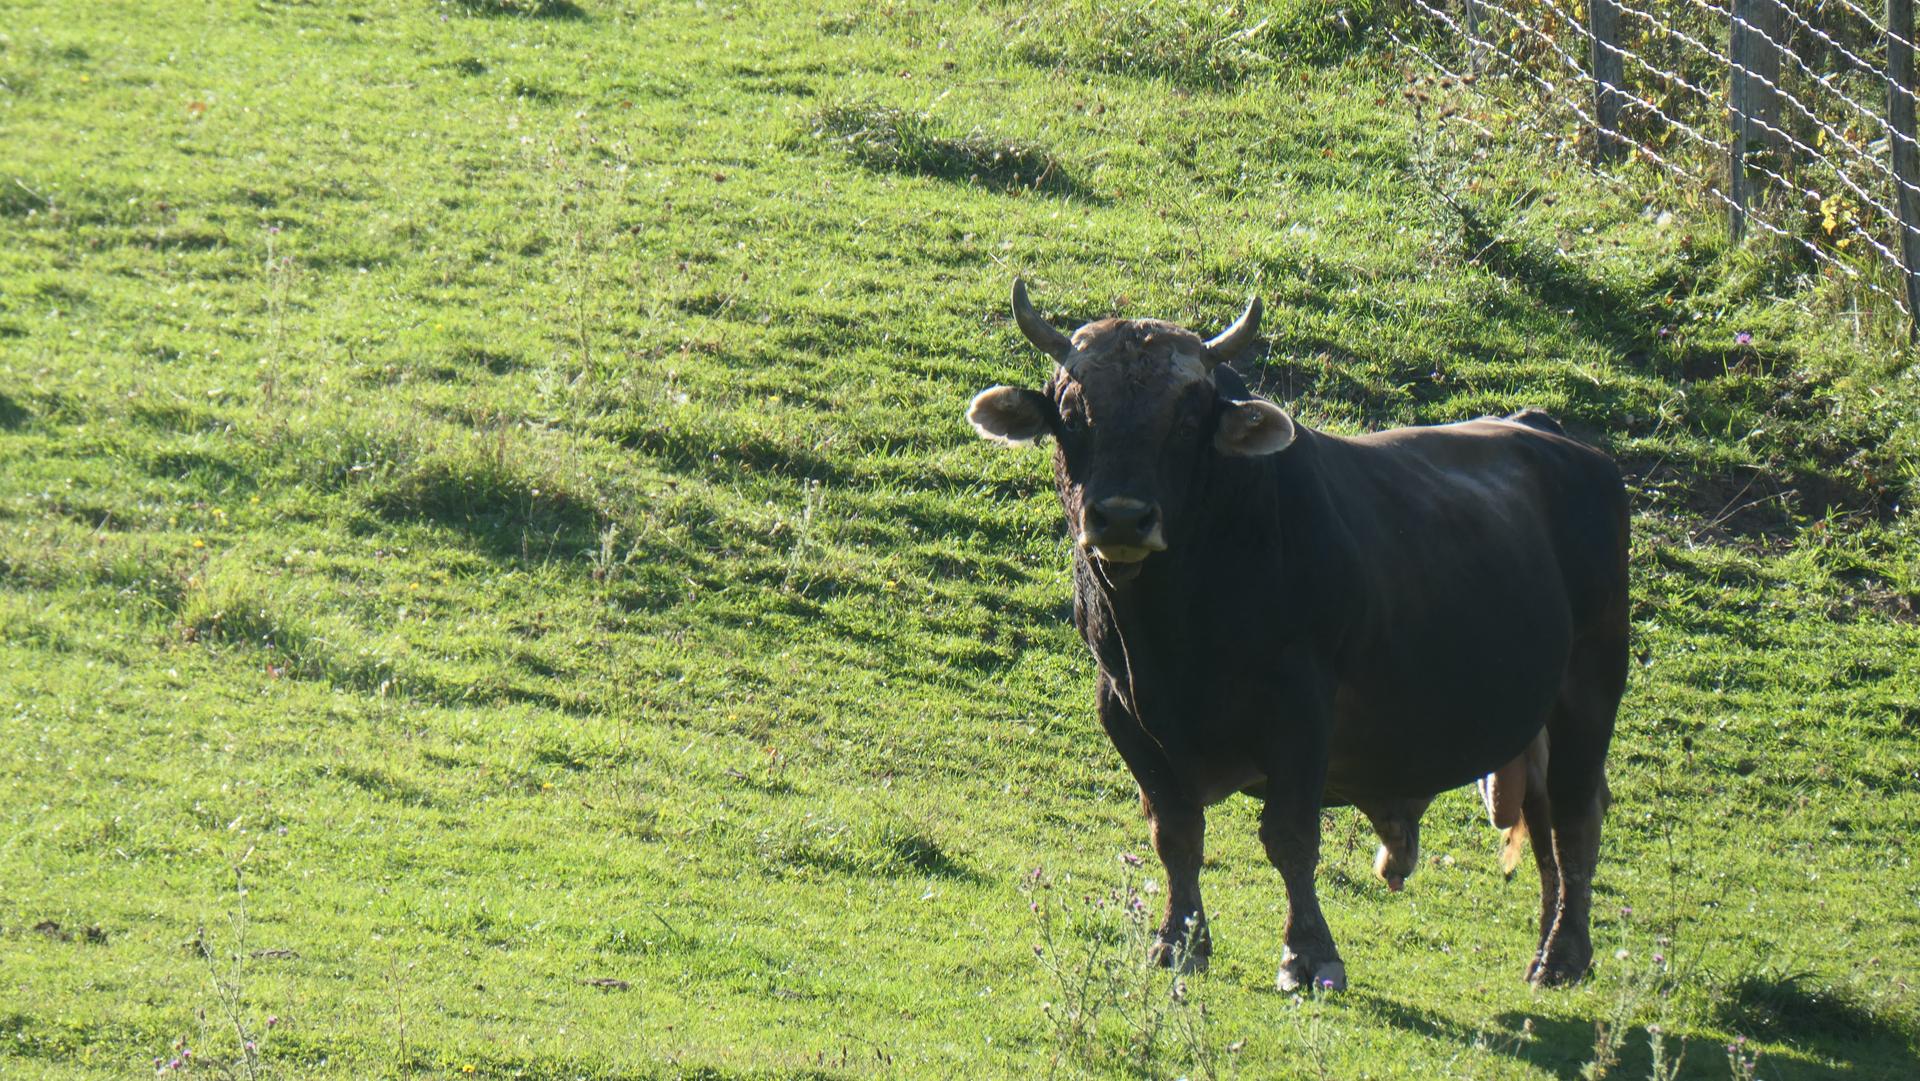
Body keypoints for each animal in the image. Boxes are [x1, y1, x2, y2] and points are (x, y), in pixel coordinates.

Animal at [965, 281, 1628, 990]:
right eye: (1072, 413)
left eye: (1187, 420)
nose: (1121, 517)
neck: (1172, 632)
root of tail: (1551, 433)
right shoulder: (1123, 711)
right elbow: (1175, 833)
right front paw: (1178, 941)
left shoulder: (1301, 712)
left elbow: (1289, 837)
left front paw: (1309, 953)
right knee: (1545, 823)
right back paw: (1550, 947)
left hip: (1589, 689)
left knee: (1574, 821)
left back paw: (1562, 954)